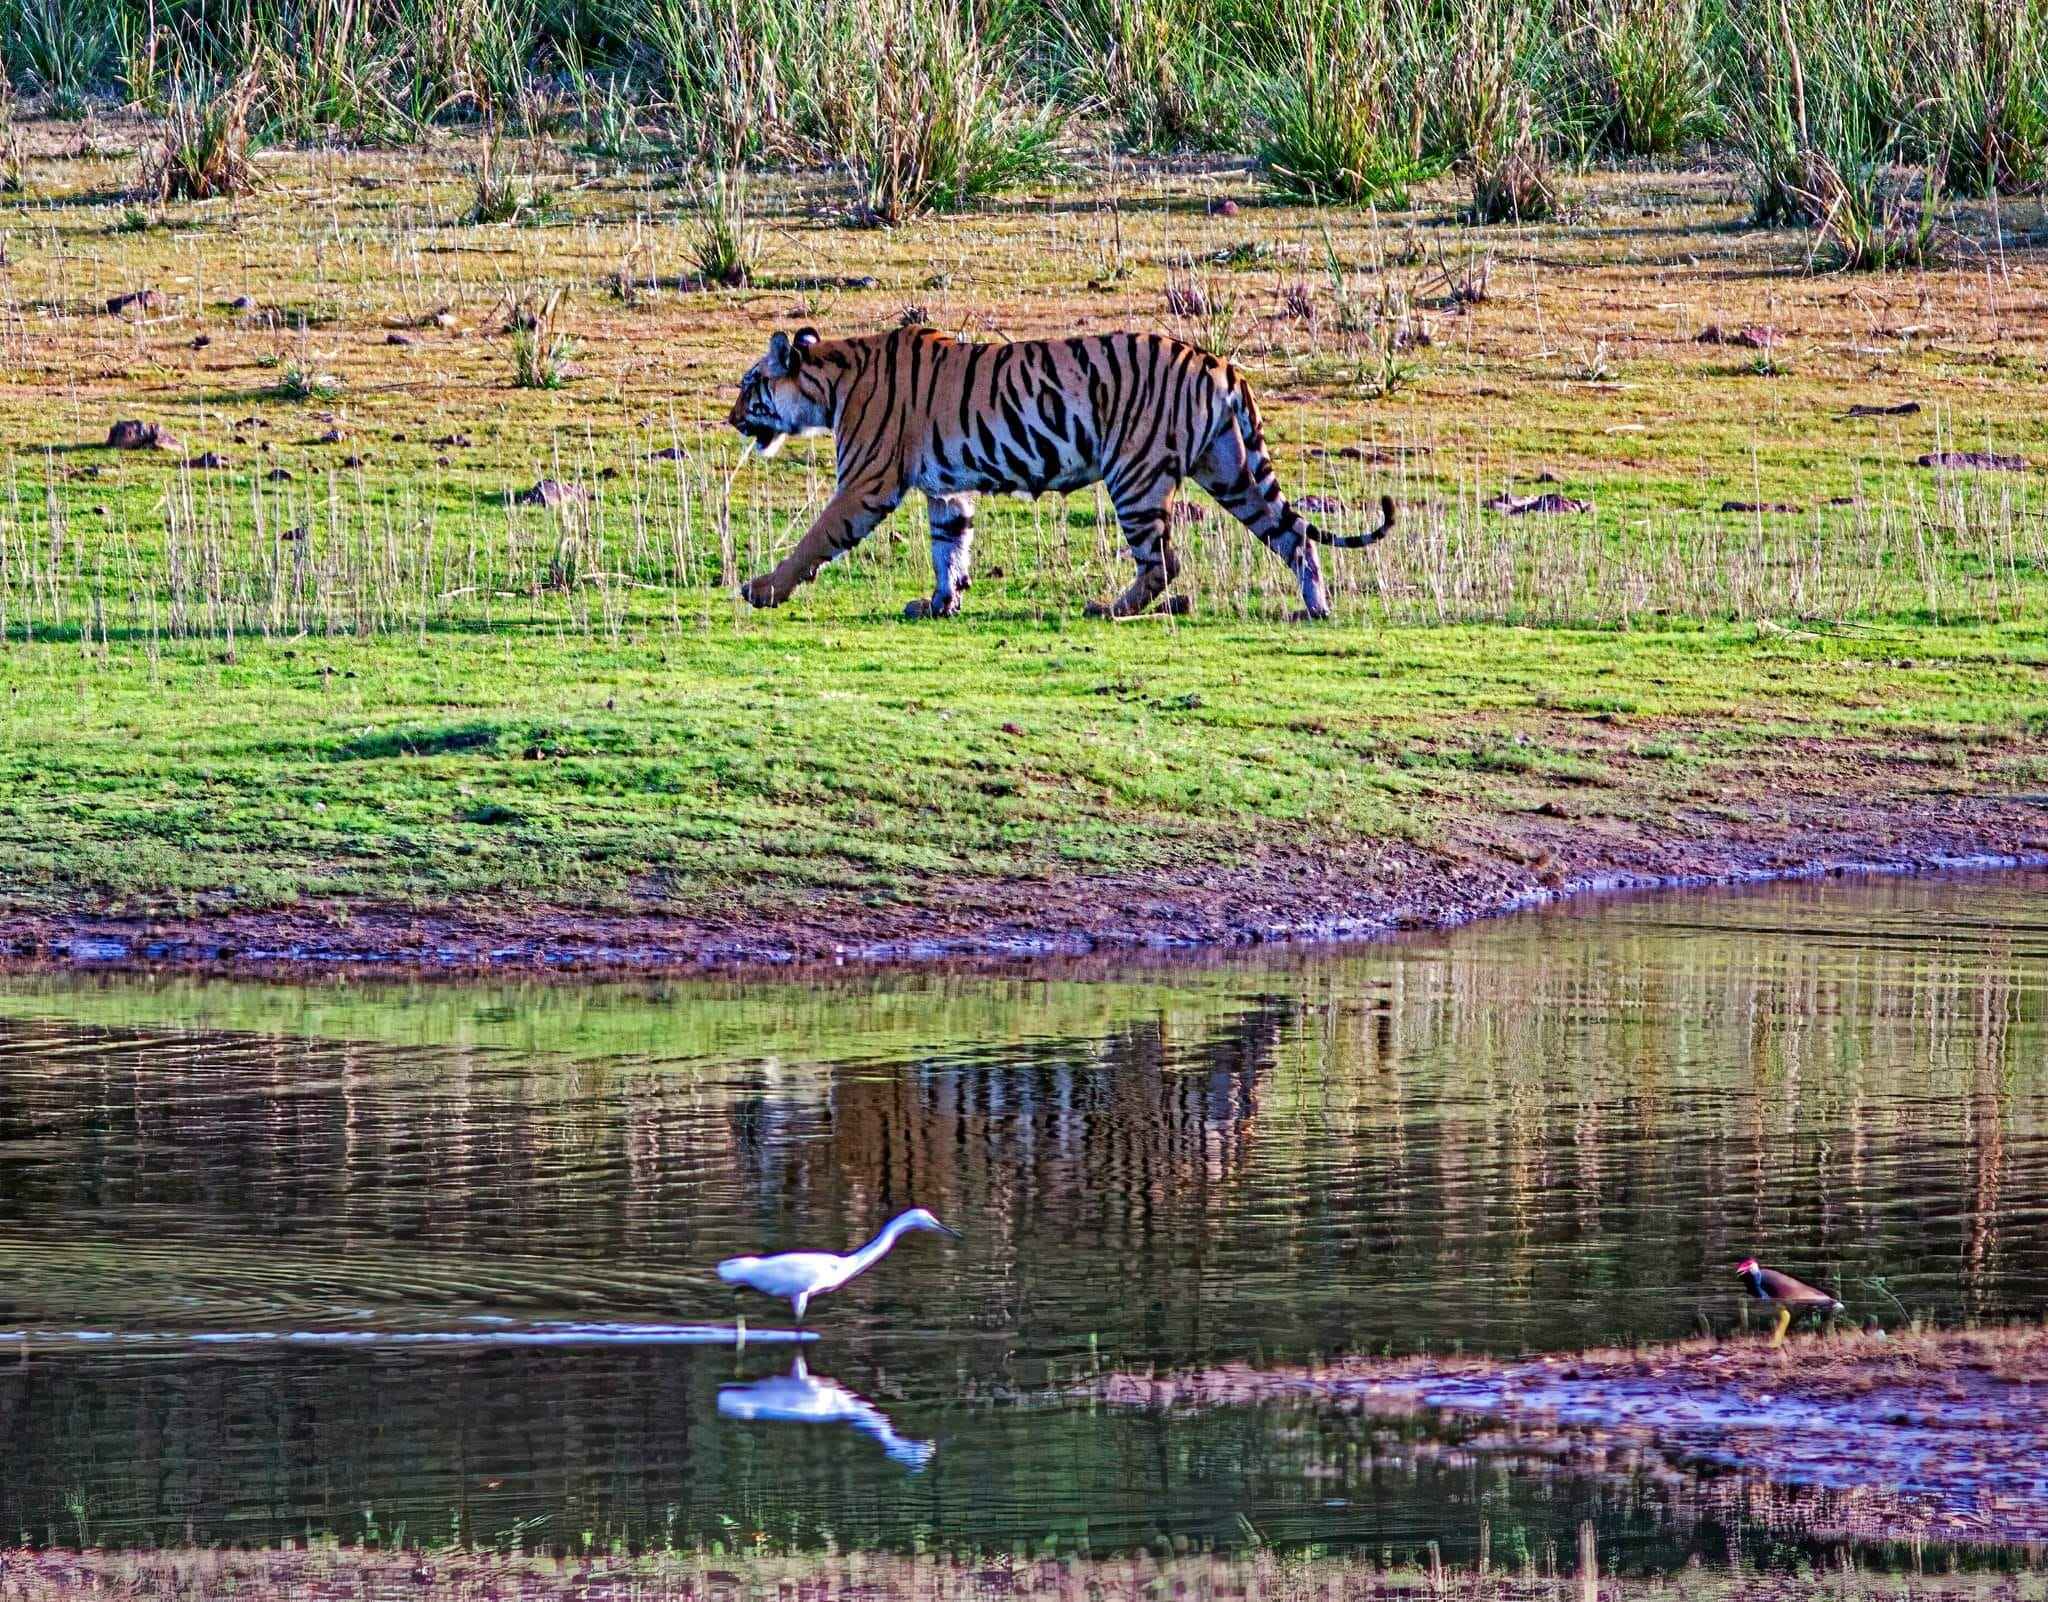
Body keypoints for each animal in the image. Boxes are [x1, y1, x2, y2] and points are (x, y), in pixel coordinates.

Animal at [726, 324, 1395, 621]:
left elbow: (815, 538)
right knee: (1294, 533)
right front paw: (941, 602)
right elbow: (950, 547)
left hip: (1135, 474)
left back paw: (1110, 608)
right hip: (1230, 470)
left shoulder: (867, 483)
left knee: (1164, 561)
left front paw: (763, 590)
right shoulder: (947, 489)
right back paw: (1315, 609)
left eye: (748, 385)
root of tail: (1217, 362)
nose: (731, 419)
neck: (828, 381)